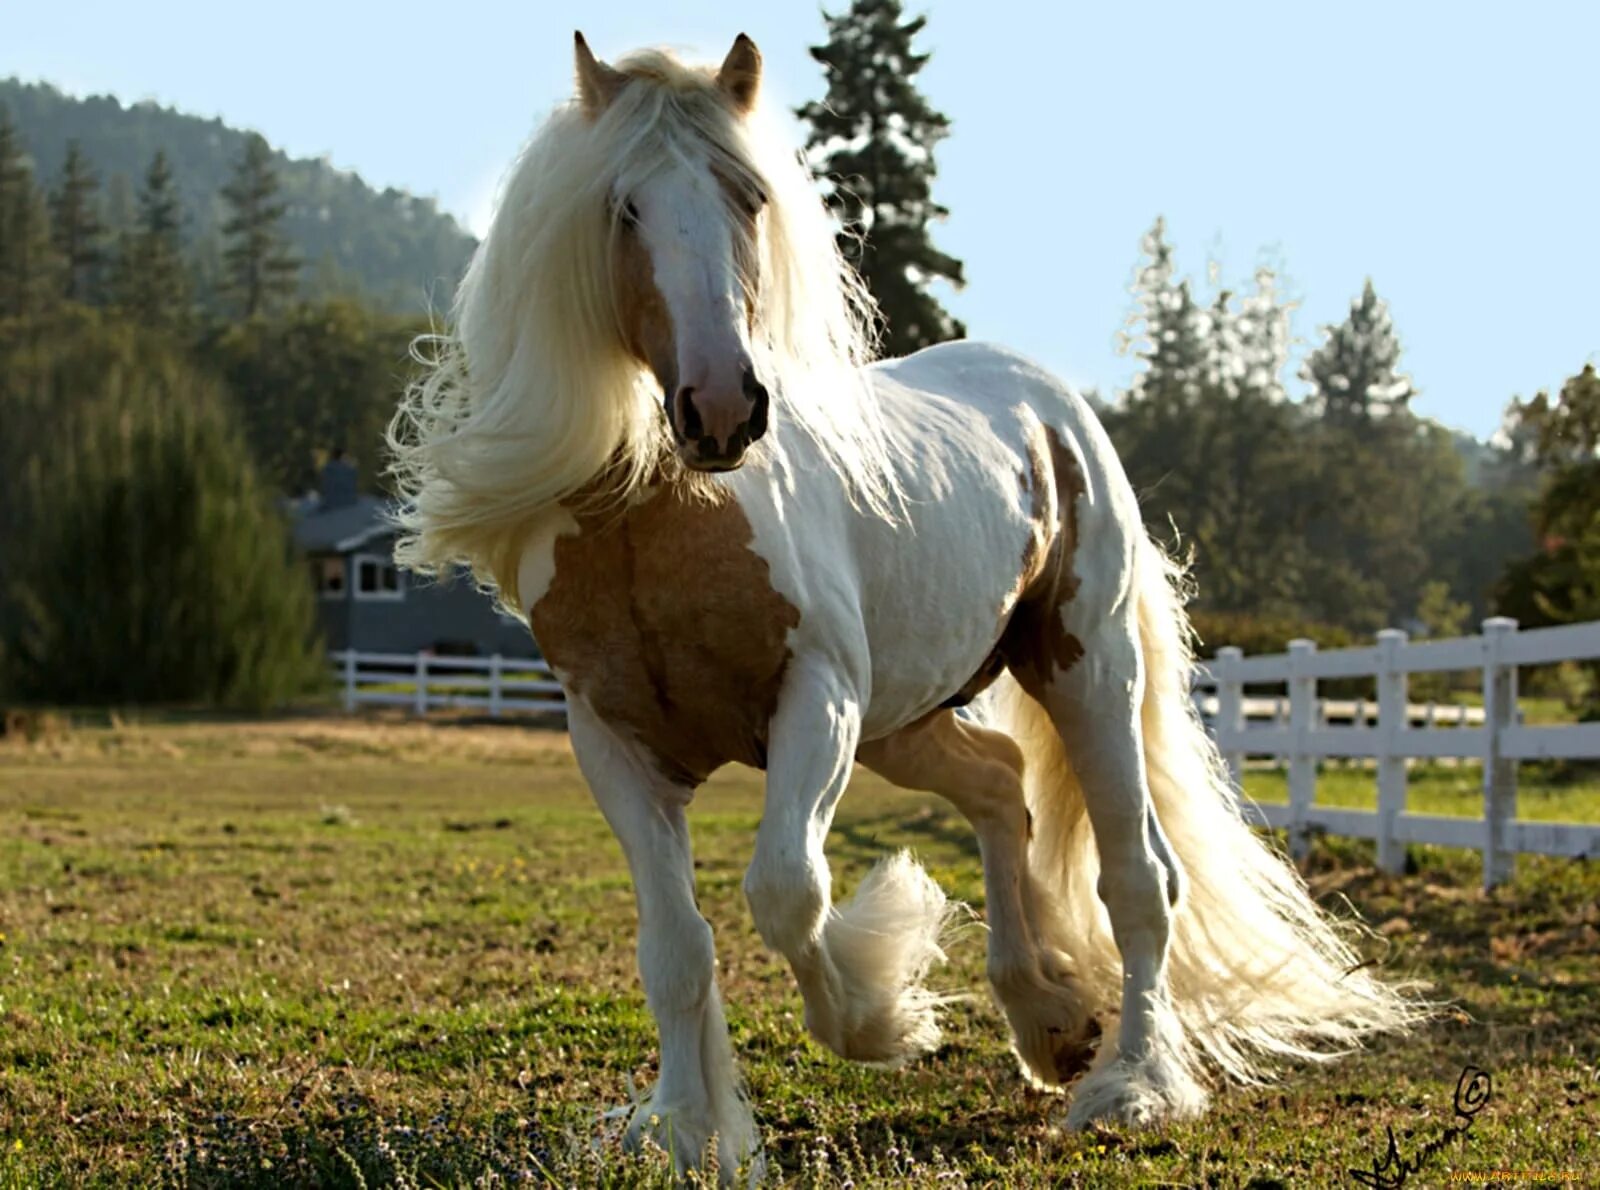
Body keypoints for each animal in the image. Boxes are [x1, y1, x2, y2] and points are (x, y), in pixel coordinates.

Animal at [390, 32, 1427, 1183]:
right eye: (623, 207)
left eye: (749, 194)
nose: (722, 407)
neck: (663, 523)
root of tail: (1046, 397)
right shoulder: (612, 741)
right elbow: (676, 947)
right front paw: (689, 1131)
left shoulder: (818, 699)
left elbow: (787, 890)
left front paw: (881, 1013)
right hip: (909, 717)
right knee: (1002, 787)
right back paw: (1051, 1020)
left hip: (1084, 670)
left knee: (1137, 875)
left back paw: (1129, 1084)